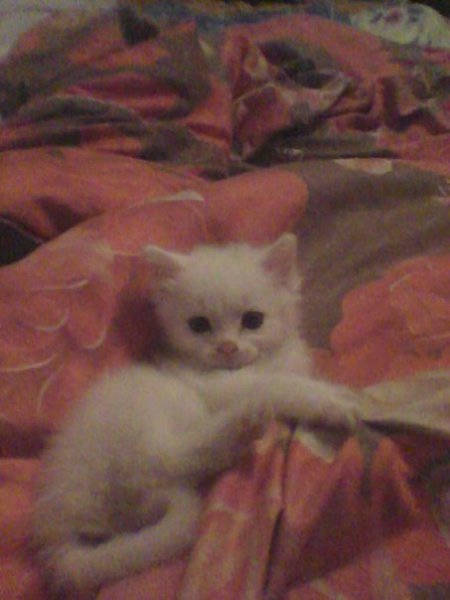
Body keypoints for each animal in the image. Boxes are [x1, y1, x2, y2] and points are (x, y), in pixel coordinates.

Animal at [33, 233, 359, 595]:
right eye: (199, 325)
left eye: (253, 320)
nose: (227, 348)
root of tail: (58, 536)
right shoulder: (220, 387)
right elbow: (281, 386)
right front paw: (333, 400)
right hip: (146, 414)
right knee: (174, 454)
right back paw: (245, 422)